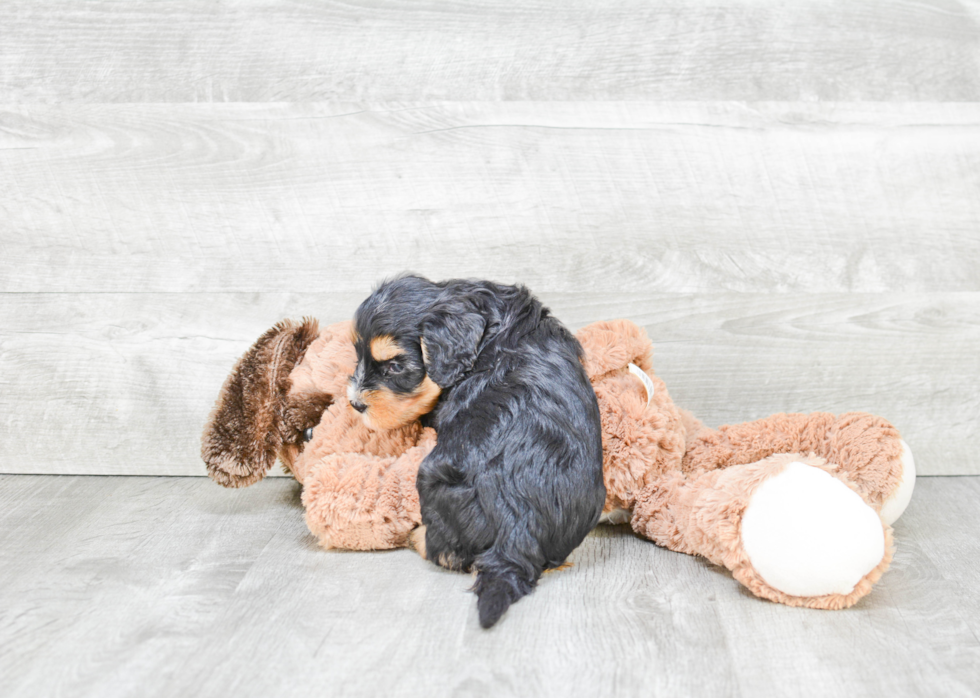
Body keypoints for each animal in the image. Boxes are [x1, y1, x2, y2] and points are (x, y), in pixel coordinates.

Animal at [344, 274, 604, 628]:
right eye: (357, 355)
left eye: (395, 367)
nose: (355, 403)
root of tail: (519, 527)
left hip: (430, 479)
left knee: (449, 552)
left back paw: (417, 536)